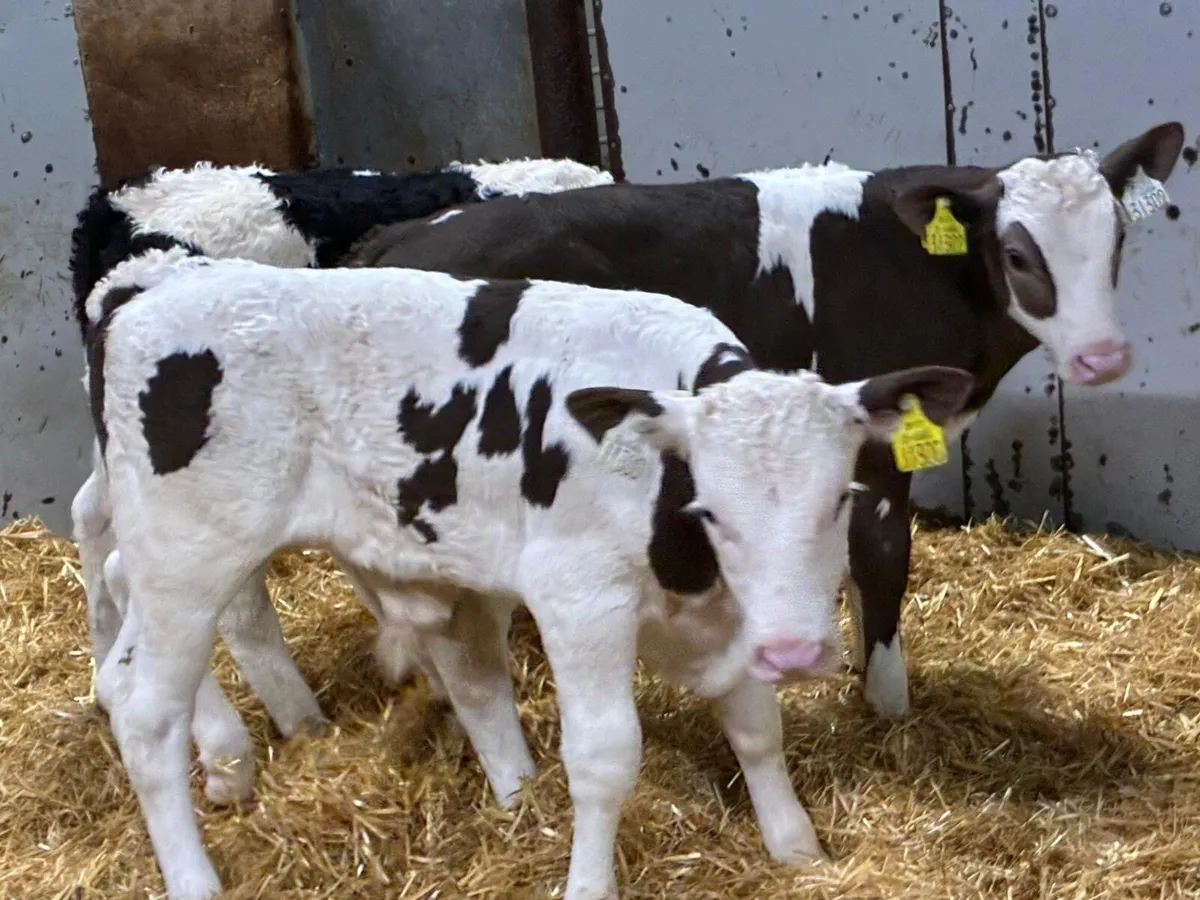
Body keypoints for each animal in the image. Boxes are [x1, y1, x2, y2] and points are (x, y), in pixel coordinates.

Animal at [86, 247, 973, 899]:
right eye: (712, 509)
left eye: (840, 497)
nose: (795, 652)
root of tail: (154, 284)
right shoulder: (581, 597)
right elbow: (607, 756)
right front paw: (589, 884)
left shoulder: (730, 613)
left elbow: (756, 727)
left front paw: (796, 848)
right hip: (193, 549)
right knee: (147, 709)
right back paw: (196, 868)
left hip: (177, 554)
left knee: (126, 619)